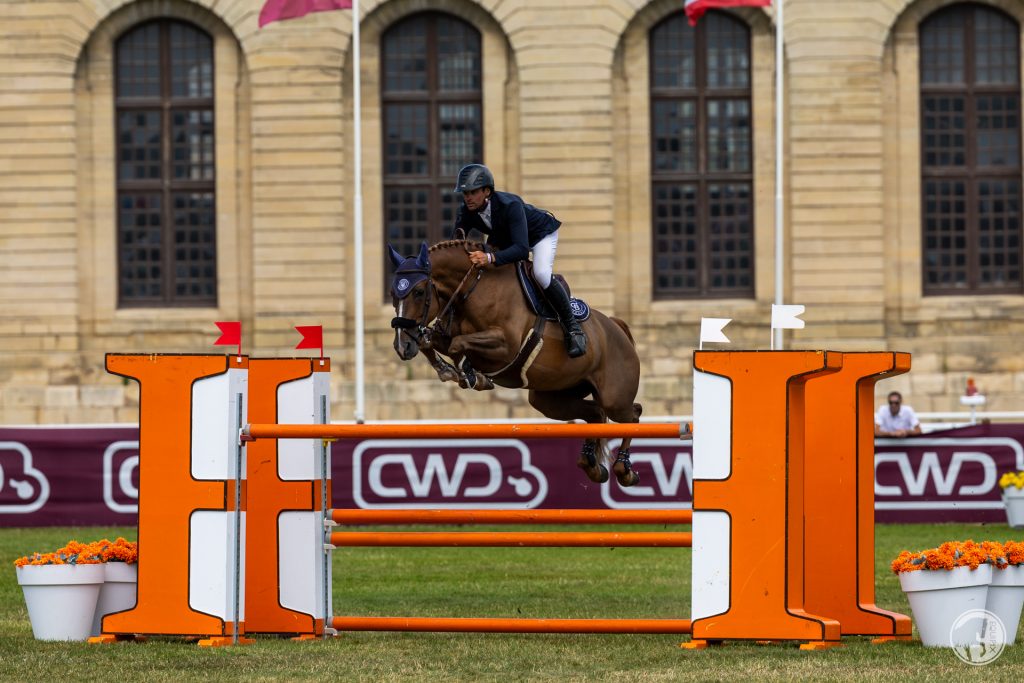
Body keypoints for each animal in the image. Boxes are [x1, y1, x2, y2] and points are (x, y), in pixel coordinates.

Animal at [387, 239, 643, 485]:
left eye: (419, 292)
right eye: (392, 293)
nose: (401, 346)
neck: (474, 288)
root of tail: (616, 326)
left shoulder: (506, 346)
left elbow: (457, 345)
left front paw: (471, 375)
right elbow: (430, 343)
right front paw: (449, 370)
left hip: (614, 398)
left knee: (632, 414)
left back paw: (624, 469)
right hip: (552, 399)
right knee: (596, 414)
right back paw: (592, 466)